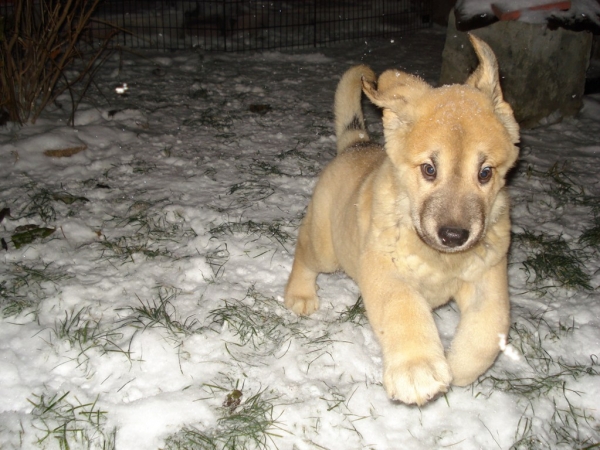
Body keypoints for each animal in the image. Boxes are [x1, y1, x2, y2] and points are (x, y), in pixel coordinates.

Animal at [284, 37, 516, 406]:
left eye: (485, 173)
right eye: (429, 169)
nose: (455, 236)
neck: (439, 259)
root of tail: (358, 143)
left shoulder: (488, 276)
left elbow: (488, 330)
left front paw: (459, 368)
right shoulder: (386, 269)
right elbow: (403, 309)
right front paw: (417, 369)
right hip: (326, 248)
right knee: (304, 252)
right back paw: (300, 295)